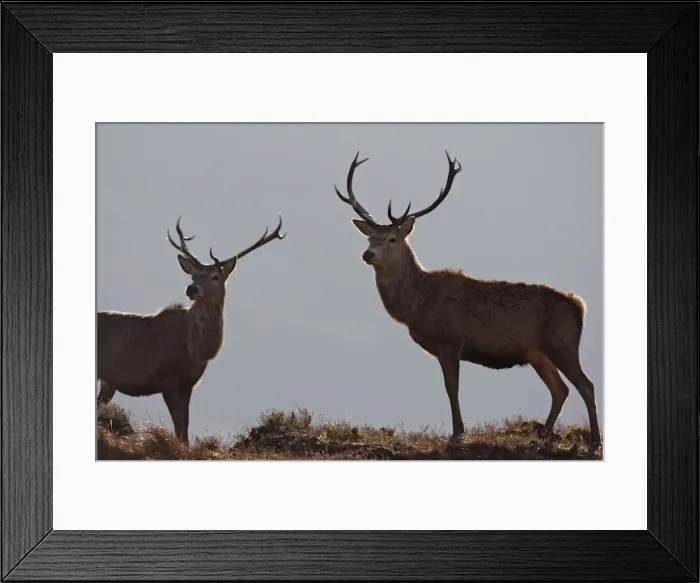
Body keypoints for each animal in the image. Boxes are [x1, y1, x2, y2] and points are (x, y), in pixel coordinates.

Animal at [96, 215, 286, 445]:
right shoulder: (166, 377)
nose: (191, 288)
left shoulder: (189, 383)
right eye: (194, 276)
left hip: (108, 382)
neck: (195, 349)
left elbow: (185, 425)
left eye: (215, 276)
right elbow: (178, 424)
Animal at [332, 151, 601, 452]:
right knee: (560, 390)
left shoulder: (450, 340)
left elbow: (452, 387)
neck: (417, 304)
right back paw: (543, 436)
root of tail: (580, 306)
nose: (367, 254)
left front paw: (458, 433)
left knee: (585, 385)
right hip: (538, 353)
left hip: (562, 343)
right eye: (370, 237)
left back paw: (593, 441)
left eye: (392, 238)